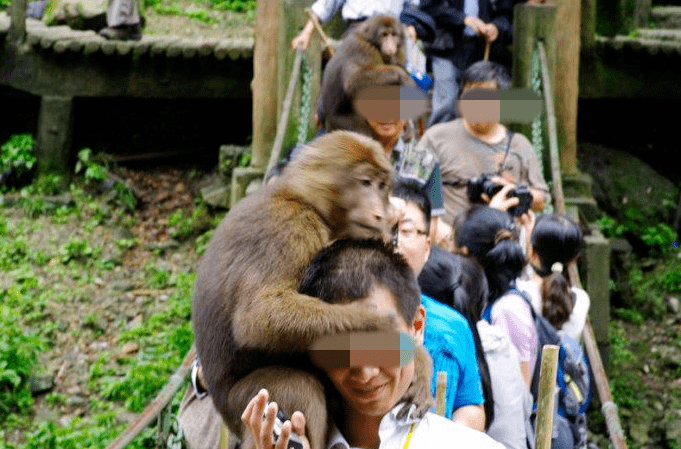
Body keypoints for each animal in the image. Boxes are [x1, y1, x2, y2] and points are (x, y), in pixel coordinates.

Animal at [190, 130, 430, 448]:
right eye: (365, 183)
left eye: (382, 186)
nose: (382, 214)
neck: (306, 200)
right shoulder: (291, 225)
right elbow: (258, 316)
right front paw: (373, 324)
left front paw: (421, 366)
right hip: (240, 403)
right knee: (298, 383)